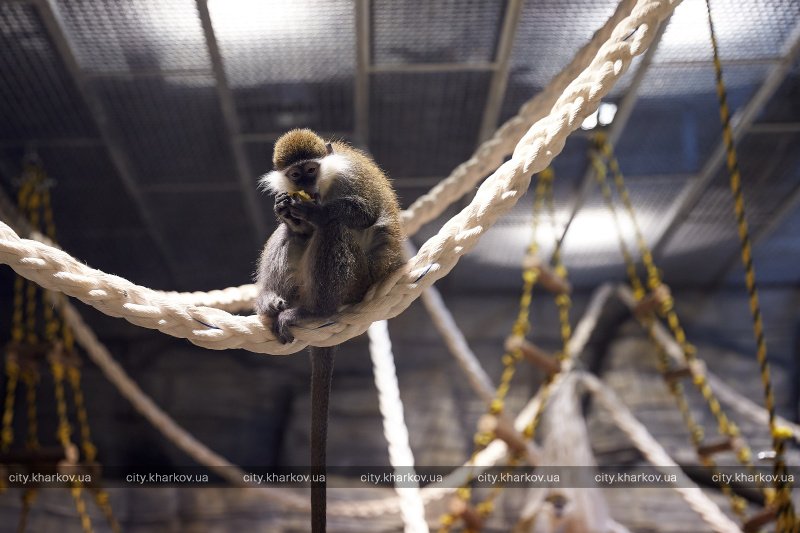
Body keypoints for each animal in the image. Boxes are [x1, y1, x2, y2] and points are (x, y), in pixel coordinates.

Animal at [256, 127, 404, 528]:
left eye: (311, 169)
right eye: (296, 174)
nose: (306, 185)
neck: (324, 184)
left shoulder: (351, 176)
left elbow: (362, 213)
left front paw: (313, 211)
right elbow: (290, 222)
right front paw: (289, 211)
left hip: (354, 282)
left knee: (336, 228)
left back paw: (311, 311)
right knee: (291, 236)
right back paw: (271, 302)